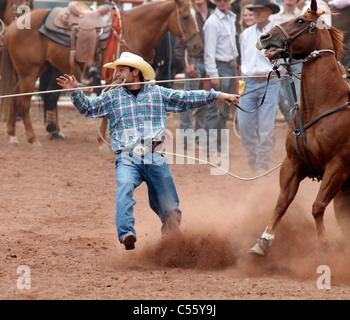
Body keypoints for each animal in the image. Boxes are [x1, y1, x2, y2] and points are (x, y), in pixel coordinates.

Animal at [0, 0, 201, 148]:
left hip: (36, 69)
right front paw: (104, 142)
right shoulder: (115, 78)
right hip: (29, 72)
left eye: (197, 15)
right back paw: (33, 139)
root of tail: (13, 26)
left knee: (13, 96)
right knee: (23, 102)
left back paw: (12, 135)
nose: (197, 46)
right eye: (185, 17)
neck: (133, 30)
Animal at [249, 0, 350, 256]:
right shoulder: (292, 164)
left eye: (300, 20)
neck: (321, 105)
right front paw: (263, 241)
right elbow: (281, 203)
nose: (264, 36)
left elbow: (317, 206)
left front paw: (324, 244)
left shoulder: (338, 166)